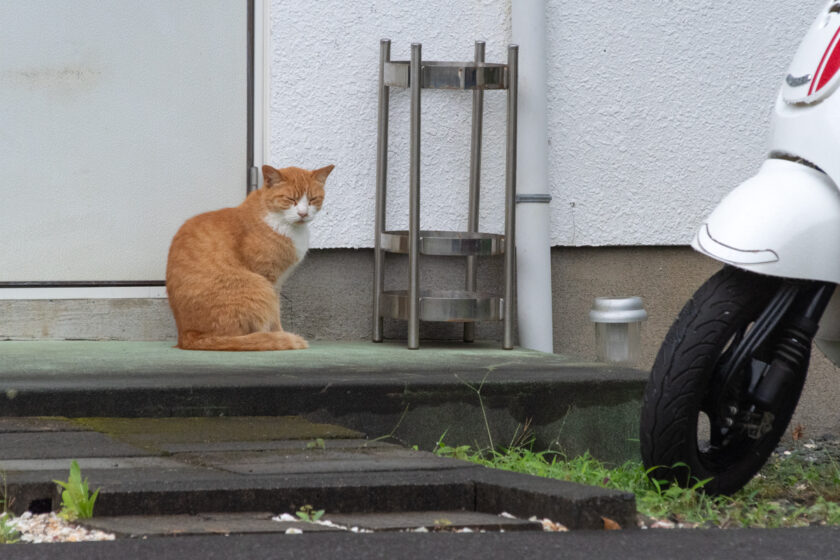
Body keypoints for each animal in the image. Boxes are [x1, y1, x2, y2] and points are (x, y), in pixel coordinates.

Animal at [166, 163, 334, 350]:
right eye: (291, 199)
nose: (303, 213)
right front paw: (279, 335)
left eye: (312, 199)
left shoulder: (278, 282)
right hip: (259, 286)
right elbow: (275, 314)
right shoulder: (269, 278)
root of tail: (186, 336)